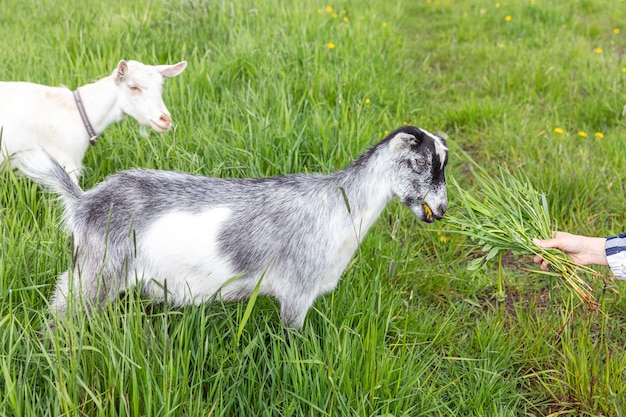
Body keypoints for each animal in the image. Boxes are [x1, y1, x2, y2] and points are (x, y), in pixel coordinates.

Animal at [20, 125, 448, 330]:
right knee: (62, 312)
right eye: (421, 162)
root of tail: (82, 201)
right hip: (98, 271)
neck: (336, 206)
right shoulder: (298, 292)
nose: (441, 210)